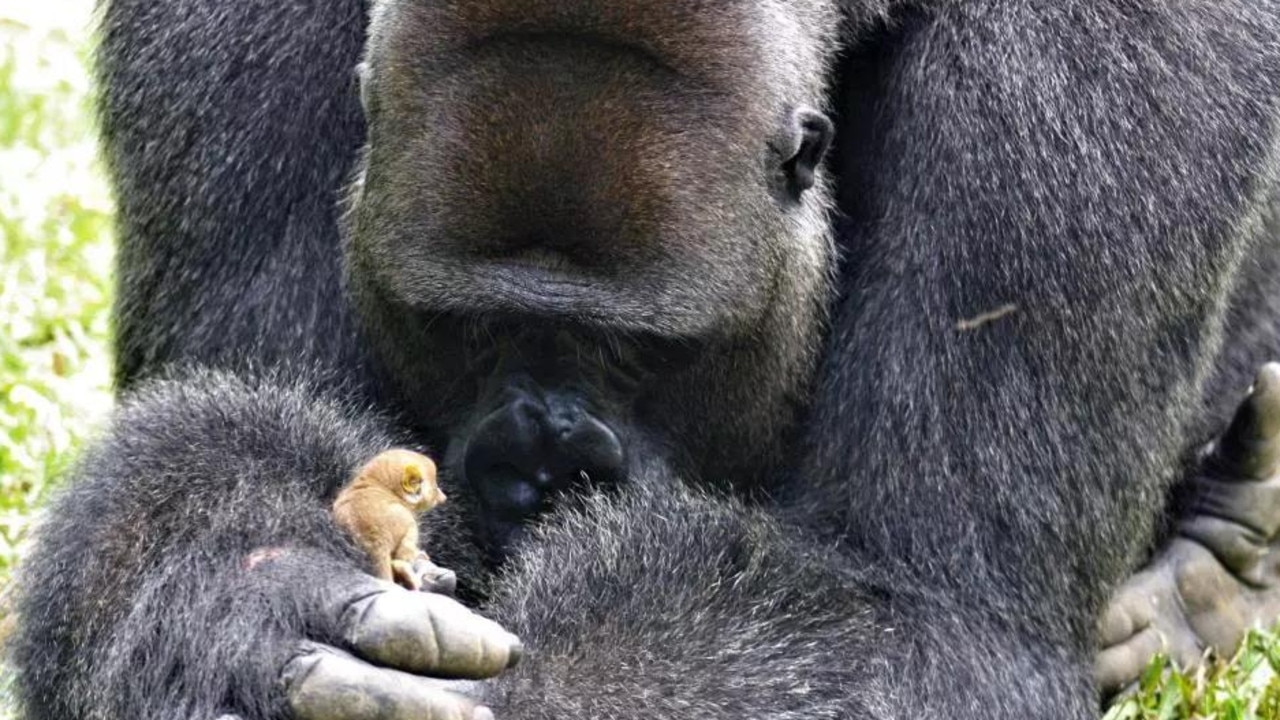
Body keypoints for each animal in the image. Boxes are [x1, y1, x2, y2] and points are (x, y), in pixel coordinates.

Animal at [12, 0, 1280, 712]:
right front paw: (228, 591)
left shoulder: (1098, 70)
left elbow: (911, 607)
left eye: (635, 352)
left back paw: (1211, 573)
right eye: (468, 328)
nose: (542, 473)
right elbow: (247, 421)